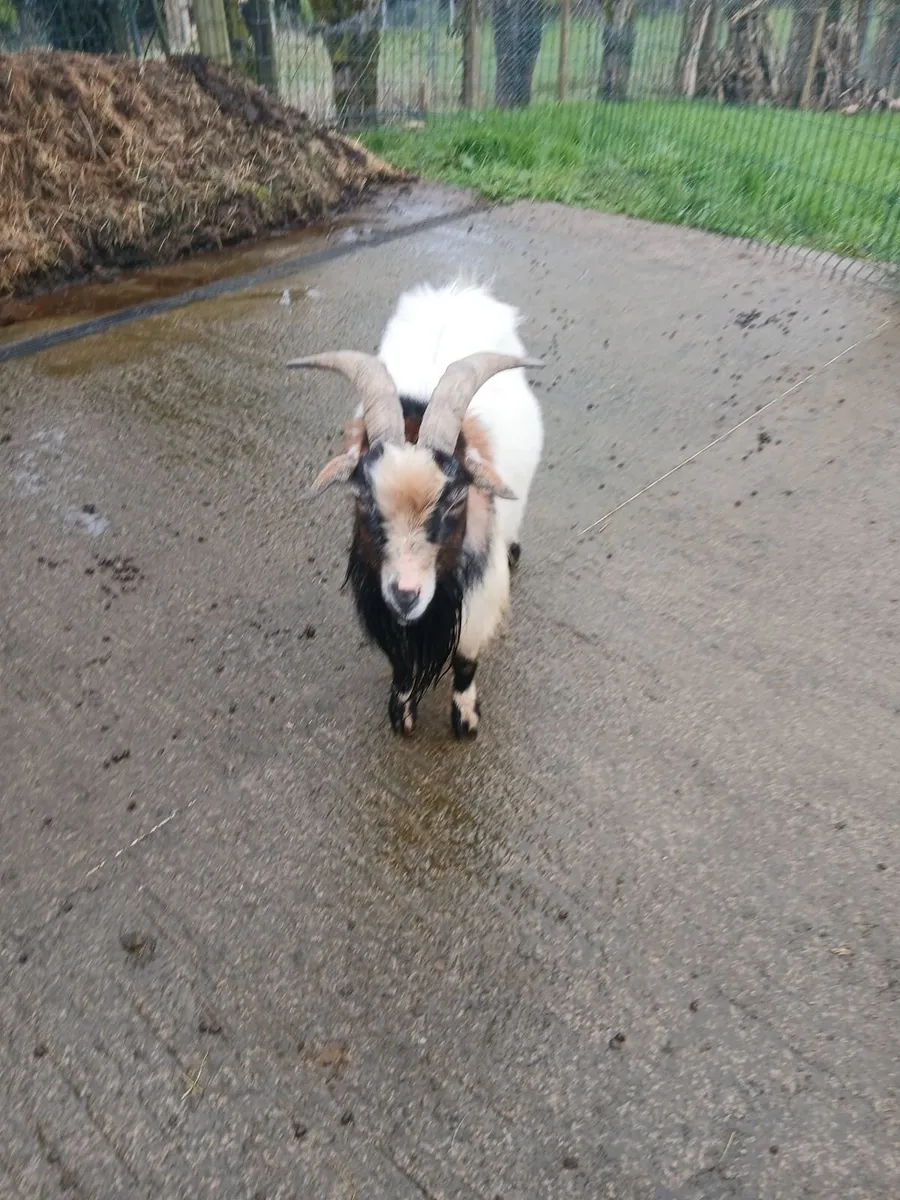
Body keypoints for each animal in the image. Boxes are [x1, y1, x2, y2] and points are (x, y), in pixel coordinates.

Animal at [289, 281, 543, 738]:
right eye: (361, 496)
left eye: (457, 498)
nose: (406, 595)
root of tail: (460, 290)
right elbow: (402, 663)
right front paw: (402, 714)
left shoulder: (478, 593)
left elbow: (466, 659)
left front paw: (466, 721)